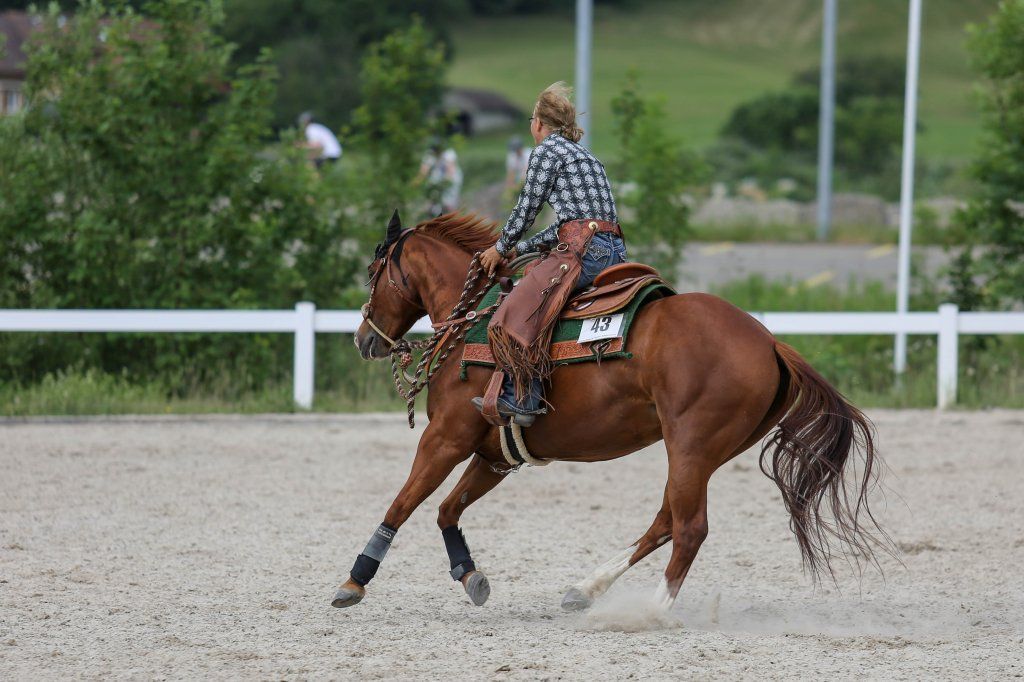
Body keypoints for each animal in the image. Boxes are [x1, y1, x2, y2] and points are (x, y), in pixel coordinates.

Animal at [332, 211, 887, 612]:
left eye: (372, 271)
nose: (362, 339)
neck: (470, 327)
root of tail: (770, 342)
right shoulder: (496, 455)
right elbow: (448, 510)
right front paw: (471, 576)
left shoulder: (445, 438)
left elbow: (402, 504)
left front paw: (354, 581)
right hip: (703, 453)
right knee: (665, 522)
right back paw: (585, 589)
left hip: (690, 446)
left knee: (689, 528)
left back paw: (651, 613)